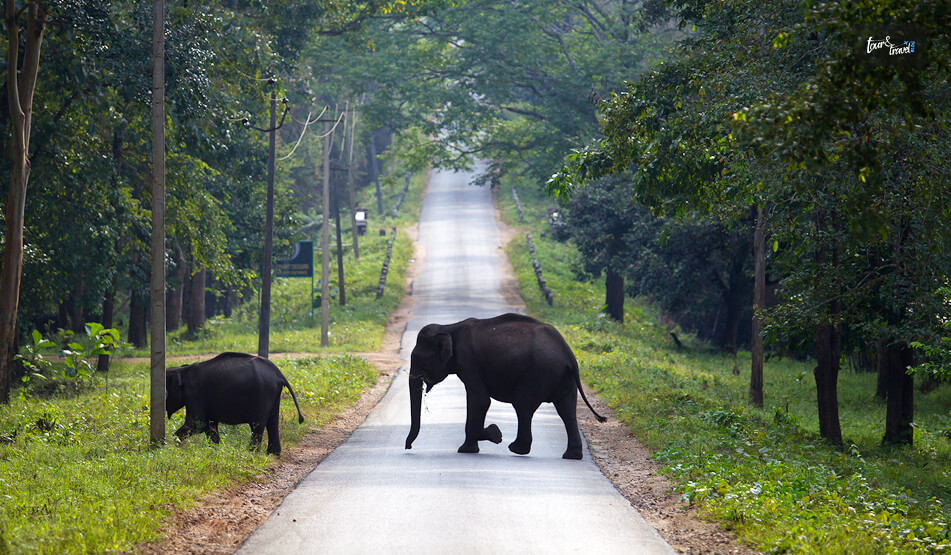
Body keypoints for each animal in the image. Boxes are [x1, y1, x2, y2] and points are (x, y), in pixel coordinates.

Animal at [166, 352, 304, 456]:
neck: (183, 370)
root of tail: (278, 373)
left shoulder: (194, 394)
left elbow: (198, 423)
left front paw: (171, 444)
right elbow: (210, 425)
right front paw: (215, 449)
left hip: (263, 393)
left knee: (257, 425)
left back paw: (251, 453)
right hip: (273, 394)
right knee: (272, 423)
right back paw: (272, 454)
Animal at [404, 313, 606, 460]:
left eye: (420, 361)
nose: (408, 446)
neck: (449, 327)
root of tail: (569, 354)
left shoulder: (469, 361)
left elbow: (480, 400)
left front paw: (493, 435)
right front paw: (480, 443)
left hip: (539, 373)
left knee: (523, 406)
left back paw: (516, 448)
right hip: (564, 379)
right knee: (566, 410)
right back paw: (571, 456)